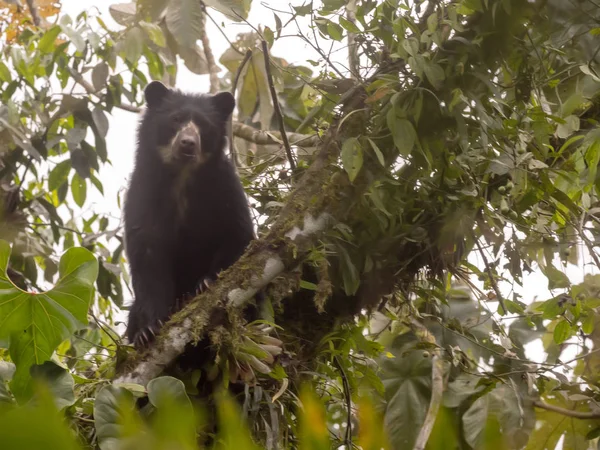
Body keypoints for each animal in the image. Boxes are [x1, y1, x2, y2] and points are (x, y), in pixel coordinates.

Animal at [123, 82, 254, 352]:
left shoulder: (225, 185)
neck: (182, 176)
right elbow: (147, 255)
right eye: (175, 120)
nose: (187, 143)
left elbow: (238, 232)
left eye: (203, 125)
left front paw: (207, 281)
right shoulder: (143, 193)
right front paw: (147, 330)